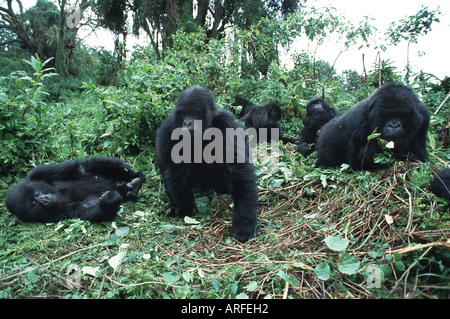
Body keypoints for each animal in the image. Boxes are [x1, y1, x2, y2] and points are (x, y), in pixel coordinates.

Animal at [5, 158, 146, 224]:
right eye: (34, 204)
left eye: (36, 194)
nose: (43, 200)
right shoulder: (57, 214)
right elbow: (88, 209)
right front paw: (108, 202)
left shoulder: (38, 173)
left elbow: (80, 168)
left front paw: (124, 168)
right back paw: (131, 187)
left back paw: (135, 179)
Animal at [156, 86, 258, 241]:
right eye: (184, 113)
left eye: (194, 114)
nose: (187, 123)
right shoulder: (169, 127)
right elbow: (172, 168)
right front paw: (183, 207)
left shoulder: (226, 123)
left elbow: (238, 170)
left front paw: (244, 223)